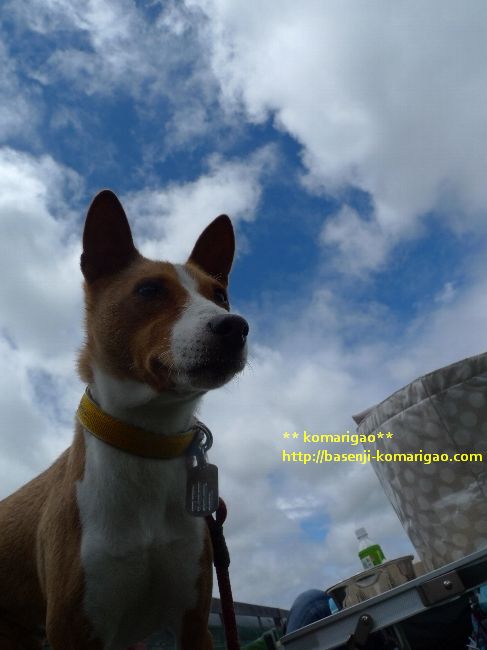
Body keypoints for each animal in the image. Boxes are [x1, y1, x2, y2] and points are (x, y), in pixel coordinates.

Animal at [0, 190, 248, 650]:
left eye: (220, 294)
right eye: (149, 289)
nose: (235, 326)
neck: (147, 441)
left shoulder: (194, 624)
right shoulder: (73, 629)